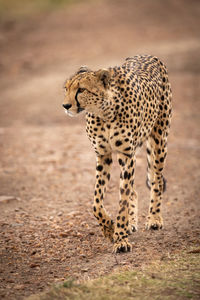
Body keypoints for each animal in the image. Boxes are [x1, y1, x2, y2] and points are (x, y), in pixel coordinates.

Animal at [62, 55, 172, 252]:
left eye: (81, 89)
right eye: (66, 88)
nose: (66, 105)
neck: (104, 112)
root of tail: (147, 55)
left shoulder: (126, 155)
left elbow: (123, 201)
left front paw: (120, 238)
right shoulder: (103, 155)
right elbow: (96, 202)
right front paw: (109, 229)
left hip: (159, 140)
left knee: (156, 181)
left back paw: (154, 218)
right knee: (134, 190)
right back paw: (131, 223)